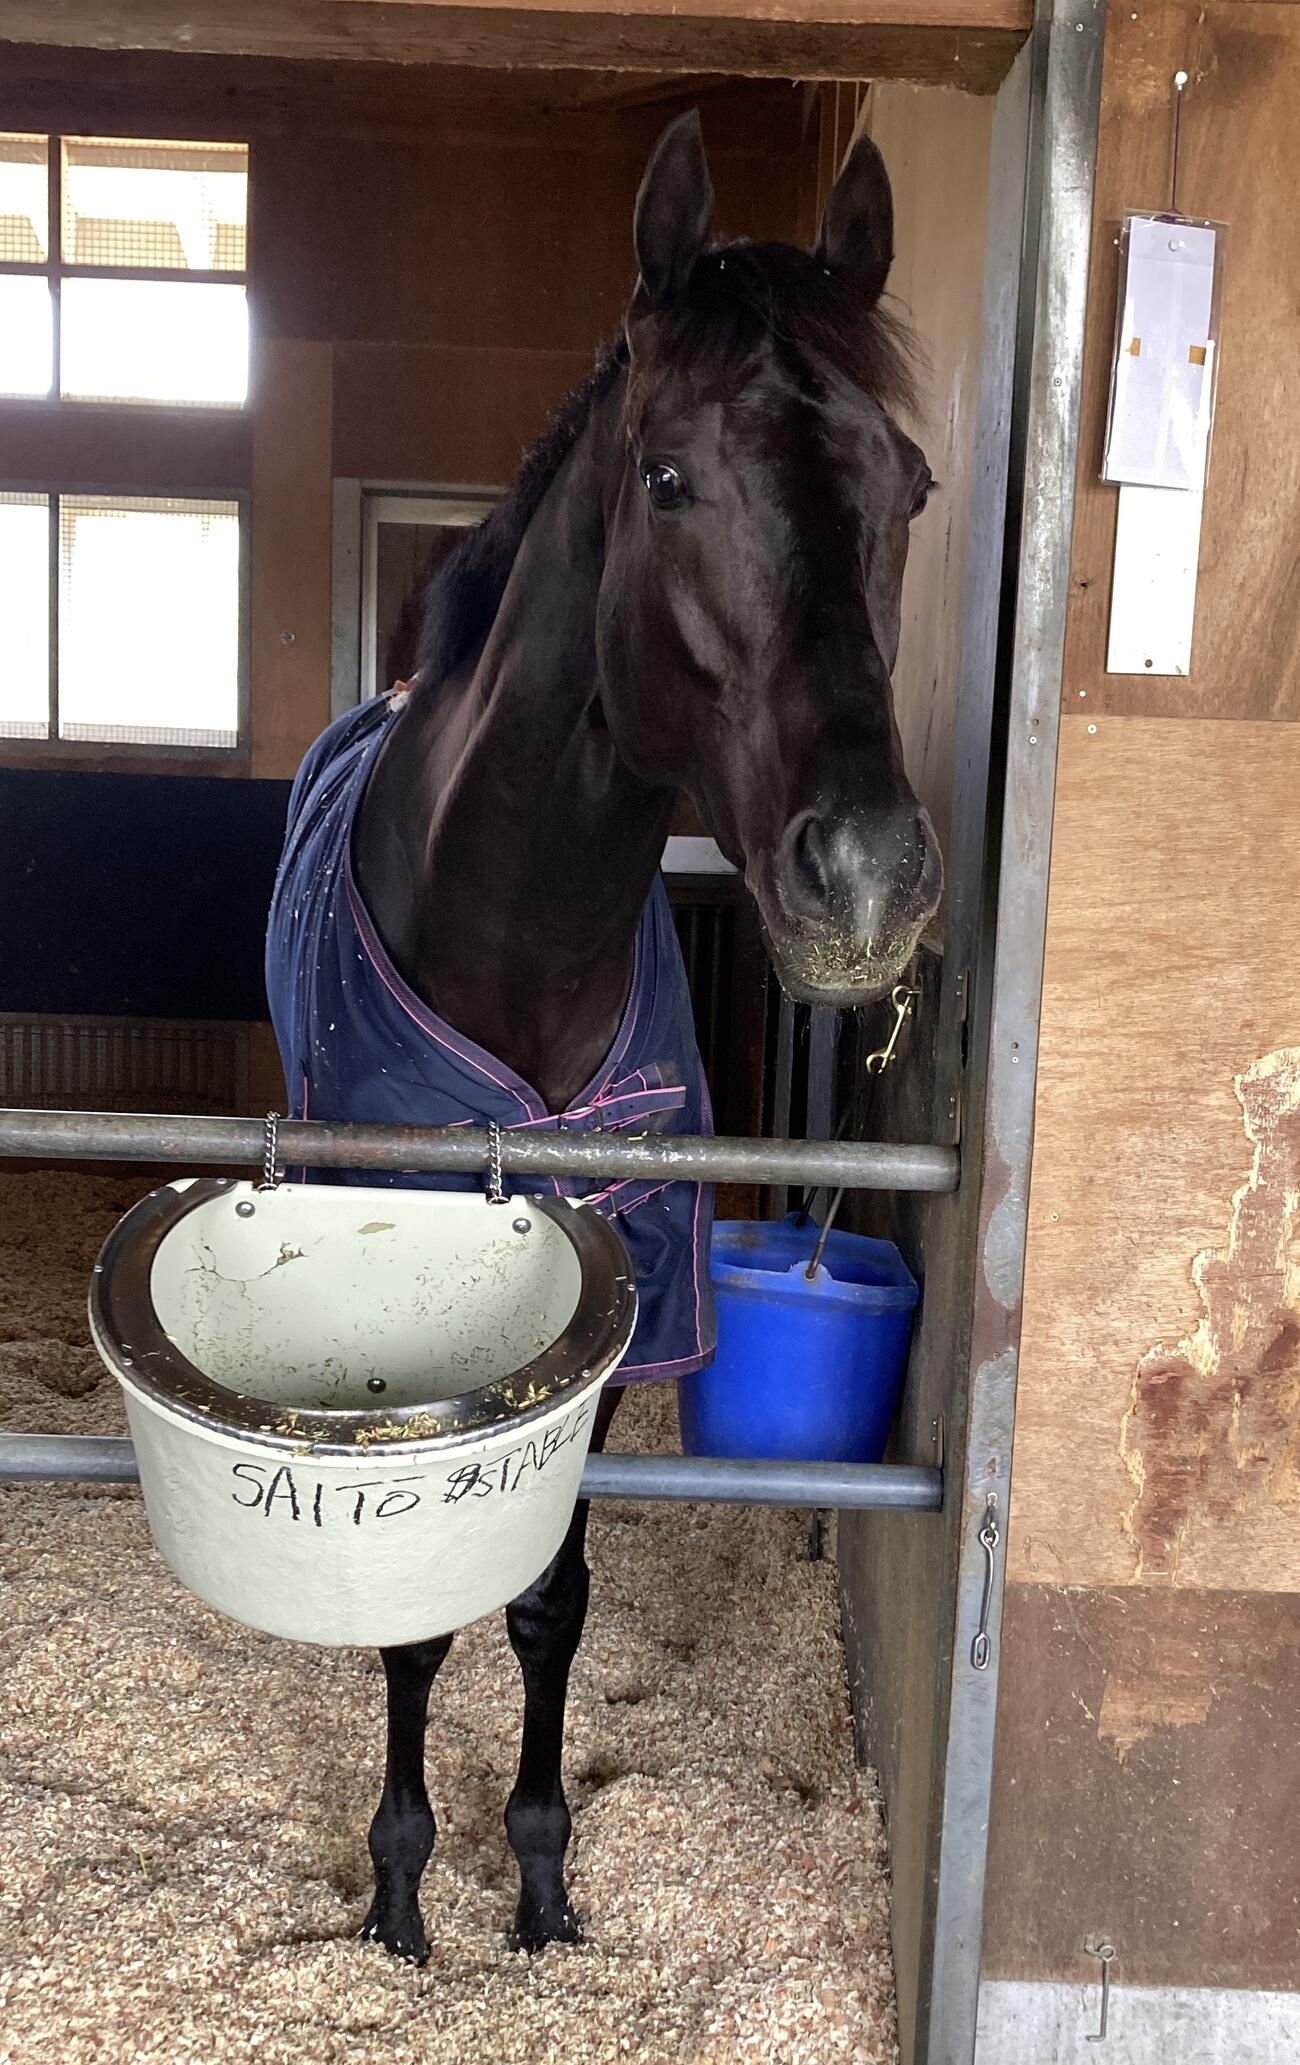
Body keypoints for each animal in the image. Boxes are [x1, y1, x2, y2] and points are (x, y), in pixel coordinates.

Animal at [266, 107, 941, 1966]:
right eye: (668, 479)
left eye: (912, 488)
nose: (869, 876)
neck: (515, 940)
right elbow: (421, 1606)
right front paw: (400, 1886)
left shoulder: (609, 1305)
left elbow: (549, 1595)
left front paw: (543, 1874)